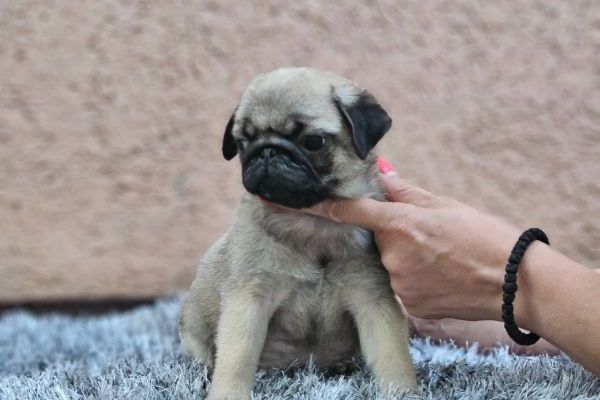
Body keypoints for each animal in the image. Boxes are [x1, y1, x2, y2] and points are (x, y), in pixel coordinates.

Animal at [179, 67, 418, 398]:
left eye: (313, 141)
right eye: (242, 144)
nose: (267, 152)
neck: (310, 220)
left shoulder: (373, 297)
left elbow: (392, 355)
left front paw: (402, 391)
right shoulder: (249, 299)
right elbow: (237, 356)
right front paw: (228, 393)